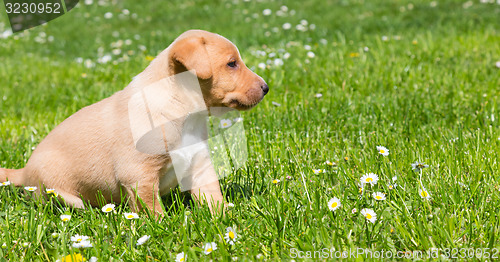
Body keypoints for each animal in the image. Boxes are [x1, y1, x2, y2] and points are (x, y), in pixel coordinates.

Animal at [0, 29, 270, 214]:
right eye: (231, 64)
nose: (266, 88)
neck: (182, 111)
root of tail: (24, 172)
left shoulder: (199, 163)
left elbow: (213, 197)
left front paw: (225, 219)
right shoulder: (139, 173)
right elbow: (152, 208)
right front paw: (161, 228)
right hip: (57, 190)